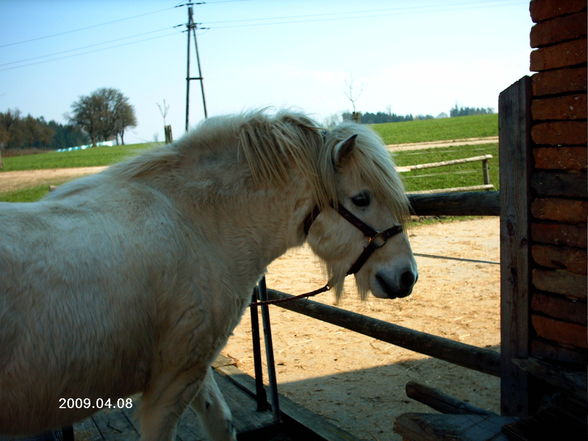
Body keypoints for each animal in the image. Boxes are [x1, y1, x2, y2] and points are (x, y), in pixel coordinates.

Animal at [0, 108, 416, 438]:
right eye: (361, 199)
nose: (406, 276)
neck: (196, 225)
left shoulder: (195, 368)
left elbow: (222, 421)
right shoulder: (169, 386)